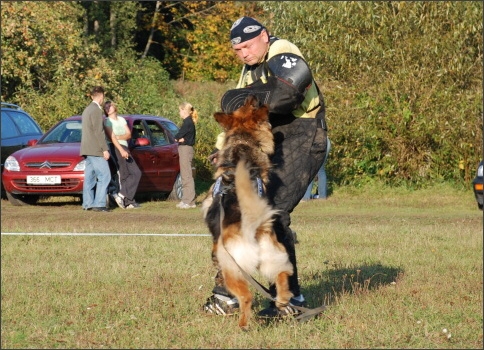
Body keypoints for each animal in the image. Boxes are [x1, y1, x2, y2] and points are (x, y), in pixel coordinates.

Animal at [201, 95, 294, 328]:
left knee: (246, 296)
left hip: (233, 270)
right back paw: (282, 301)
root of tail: (254, 229)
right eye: (246, 105)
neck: (242, 144)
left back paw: (243, 324)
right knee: (282, 276)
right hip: (275, 255)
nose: (252, 96)